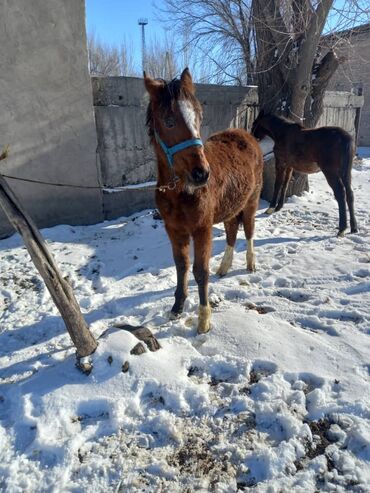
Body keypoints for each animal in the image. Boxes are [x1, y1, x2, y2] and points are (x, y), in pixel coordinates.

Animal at [145, 67, 264, 332]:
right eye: (169, 121)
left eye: (198, 117)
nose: (201, 174)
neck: (179, 191)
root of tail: (247, 136)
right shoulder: (173, 229)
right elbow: (181, 265)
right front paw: (177, 307)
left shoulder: (202, 228)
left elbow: (200, 271)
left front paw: (204, 319)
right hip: (231, 205)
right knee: (232, 231)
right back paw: (225, 267)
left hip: (251, 201)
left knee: (249, 229)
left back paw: (251, 263)